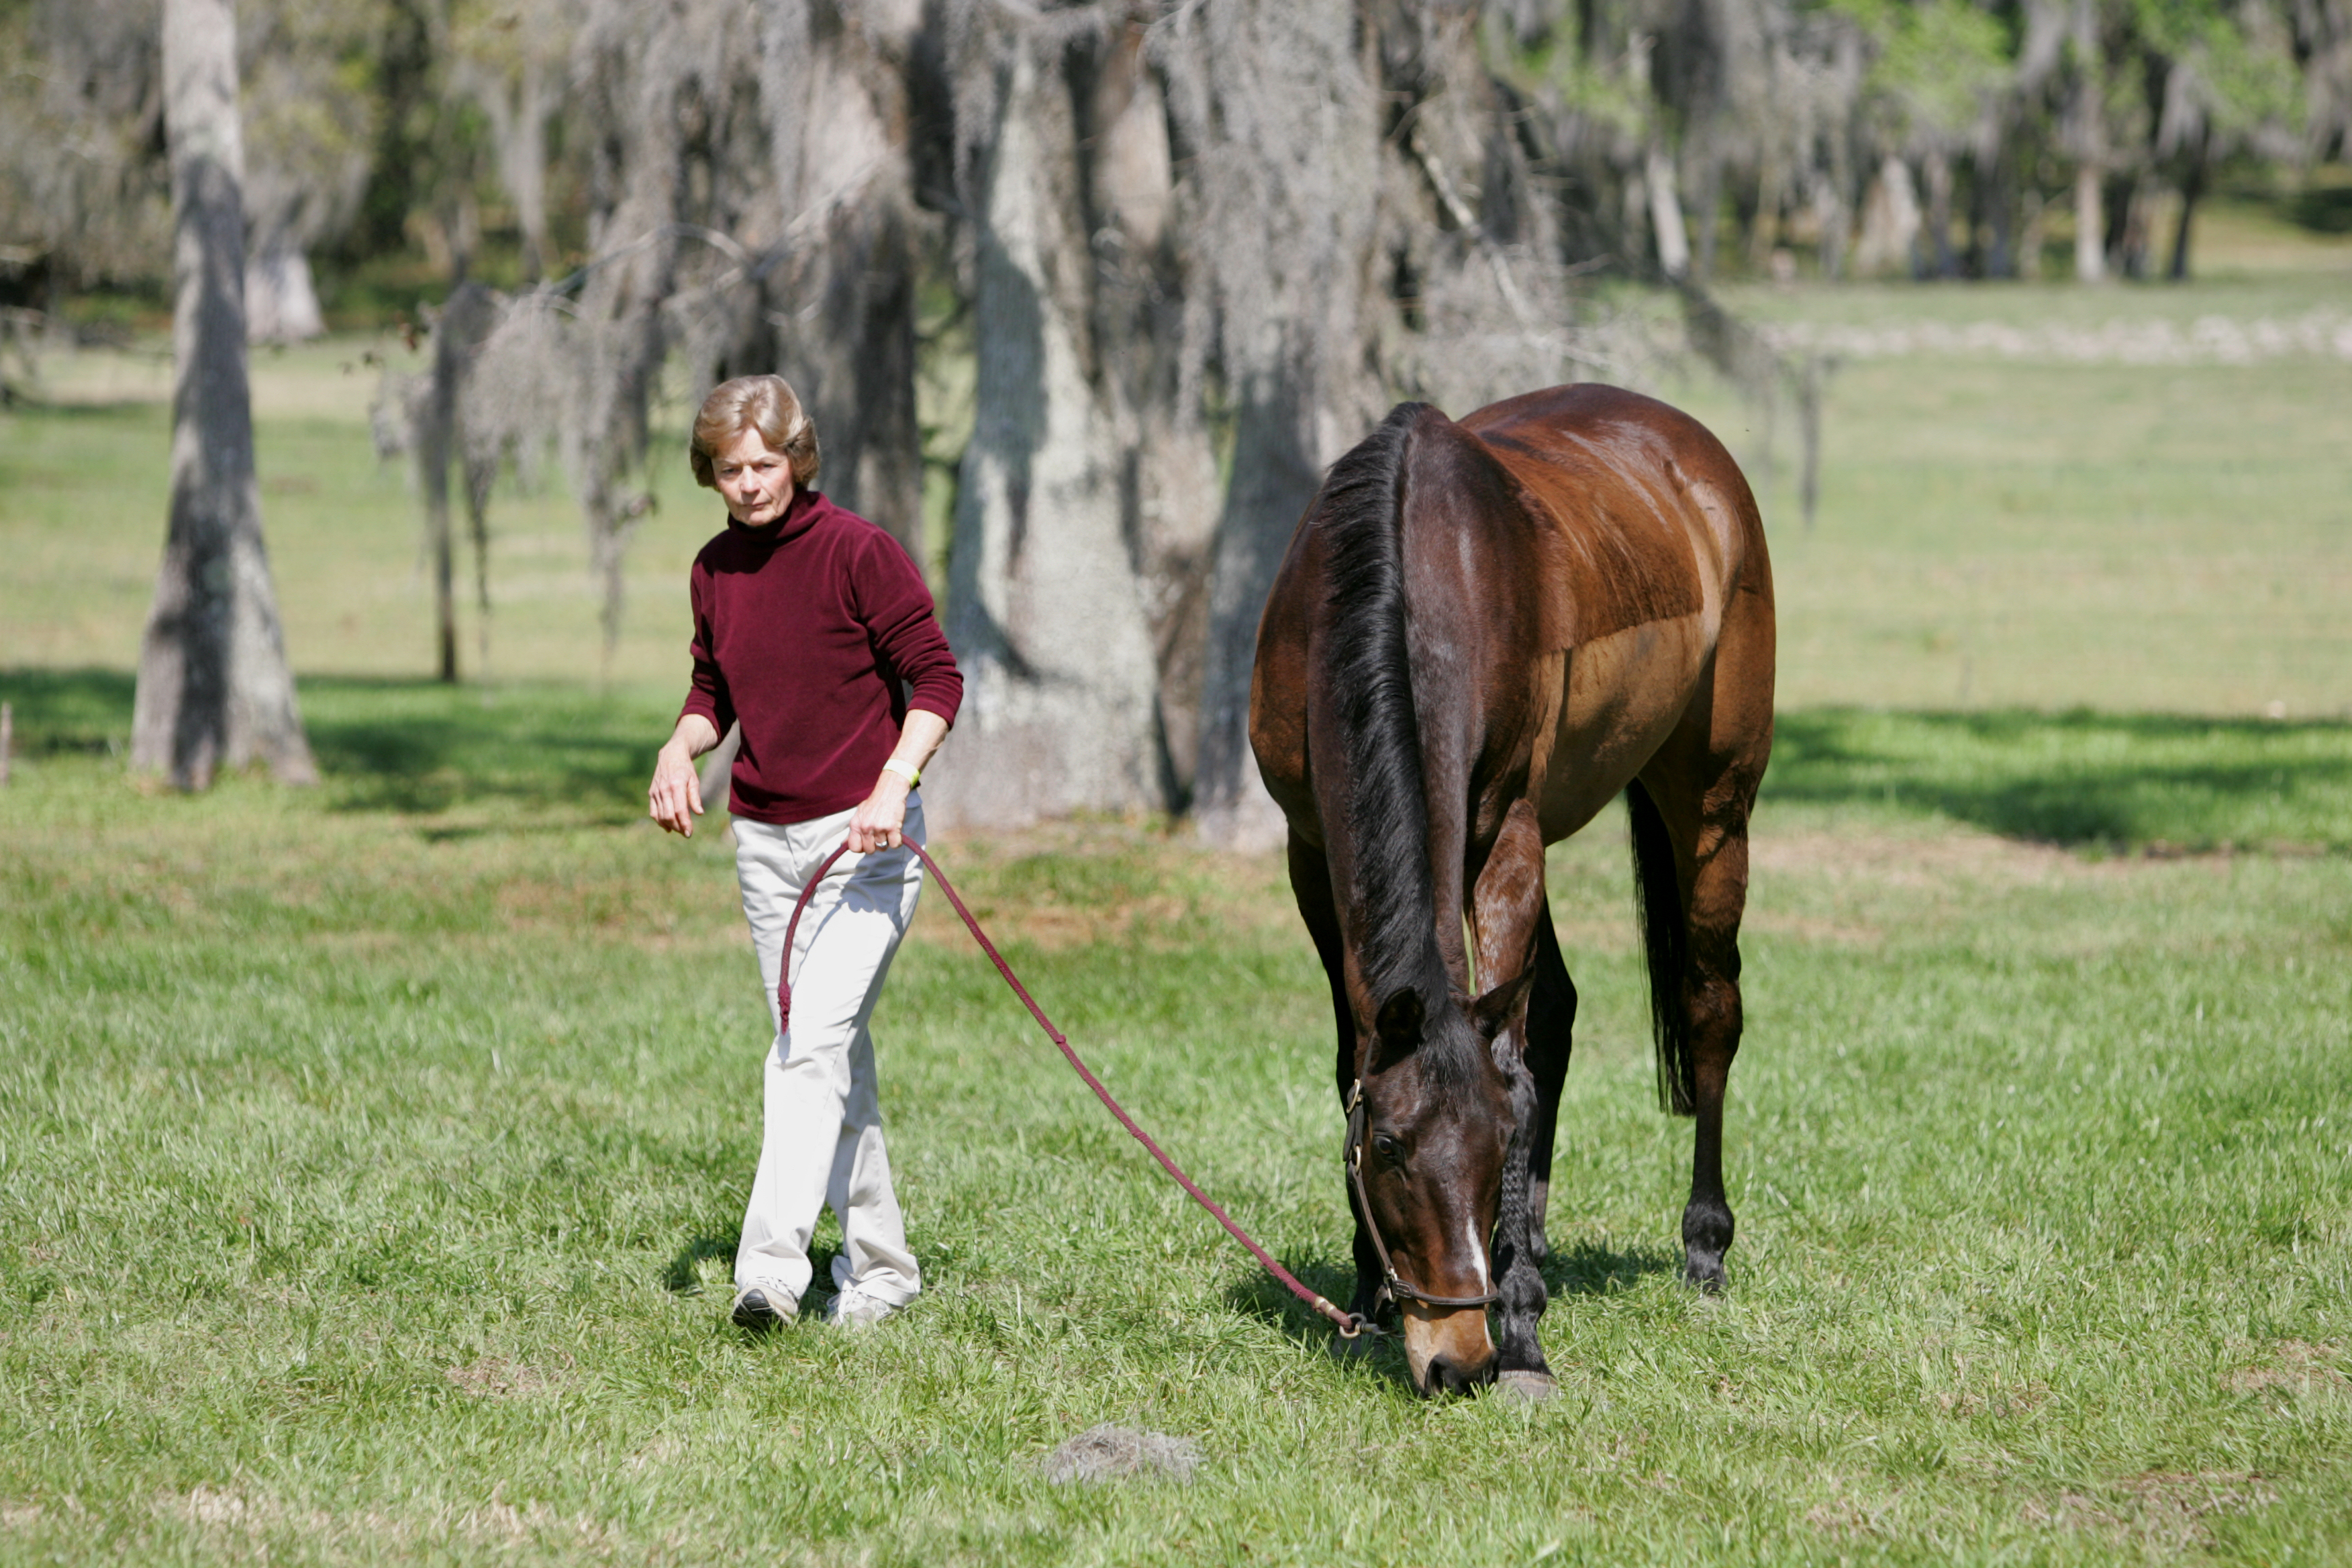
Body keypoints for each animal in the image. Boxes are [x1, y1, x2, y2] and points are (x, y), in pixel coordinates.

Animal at [1251, 381, 1769, 1401]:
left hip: (1715, 807)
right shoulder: (1310, 852)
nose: (1458, 1360)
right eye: (1389, 1149)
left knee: (1709, 1012)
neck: (1413, 578)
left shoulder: (1509, 838)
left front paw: (1524, 1326)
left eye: (1495, 1149)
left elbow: (1518, 1069)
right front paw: (1370, 1294)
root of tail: (1694, 453)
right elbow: (1356, 1061)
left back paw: (1703, 1248)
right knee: (1557, 1008)